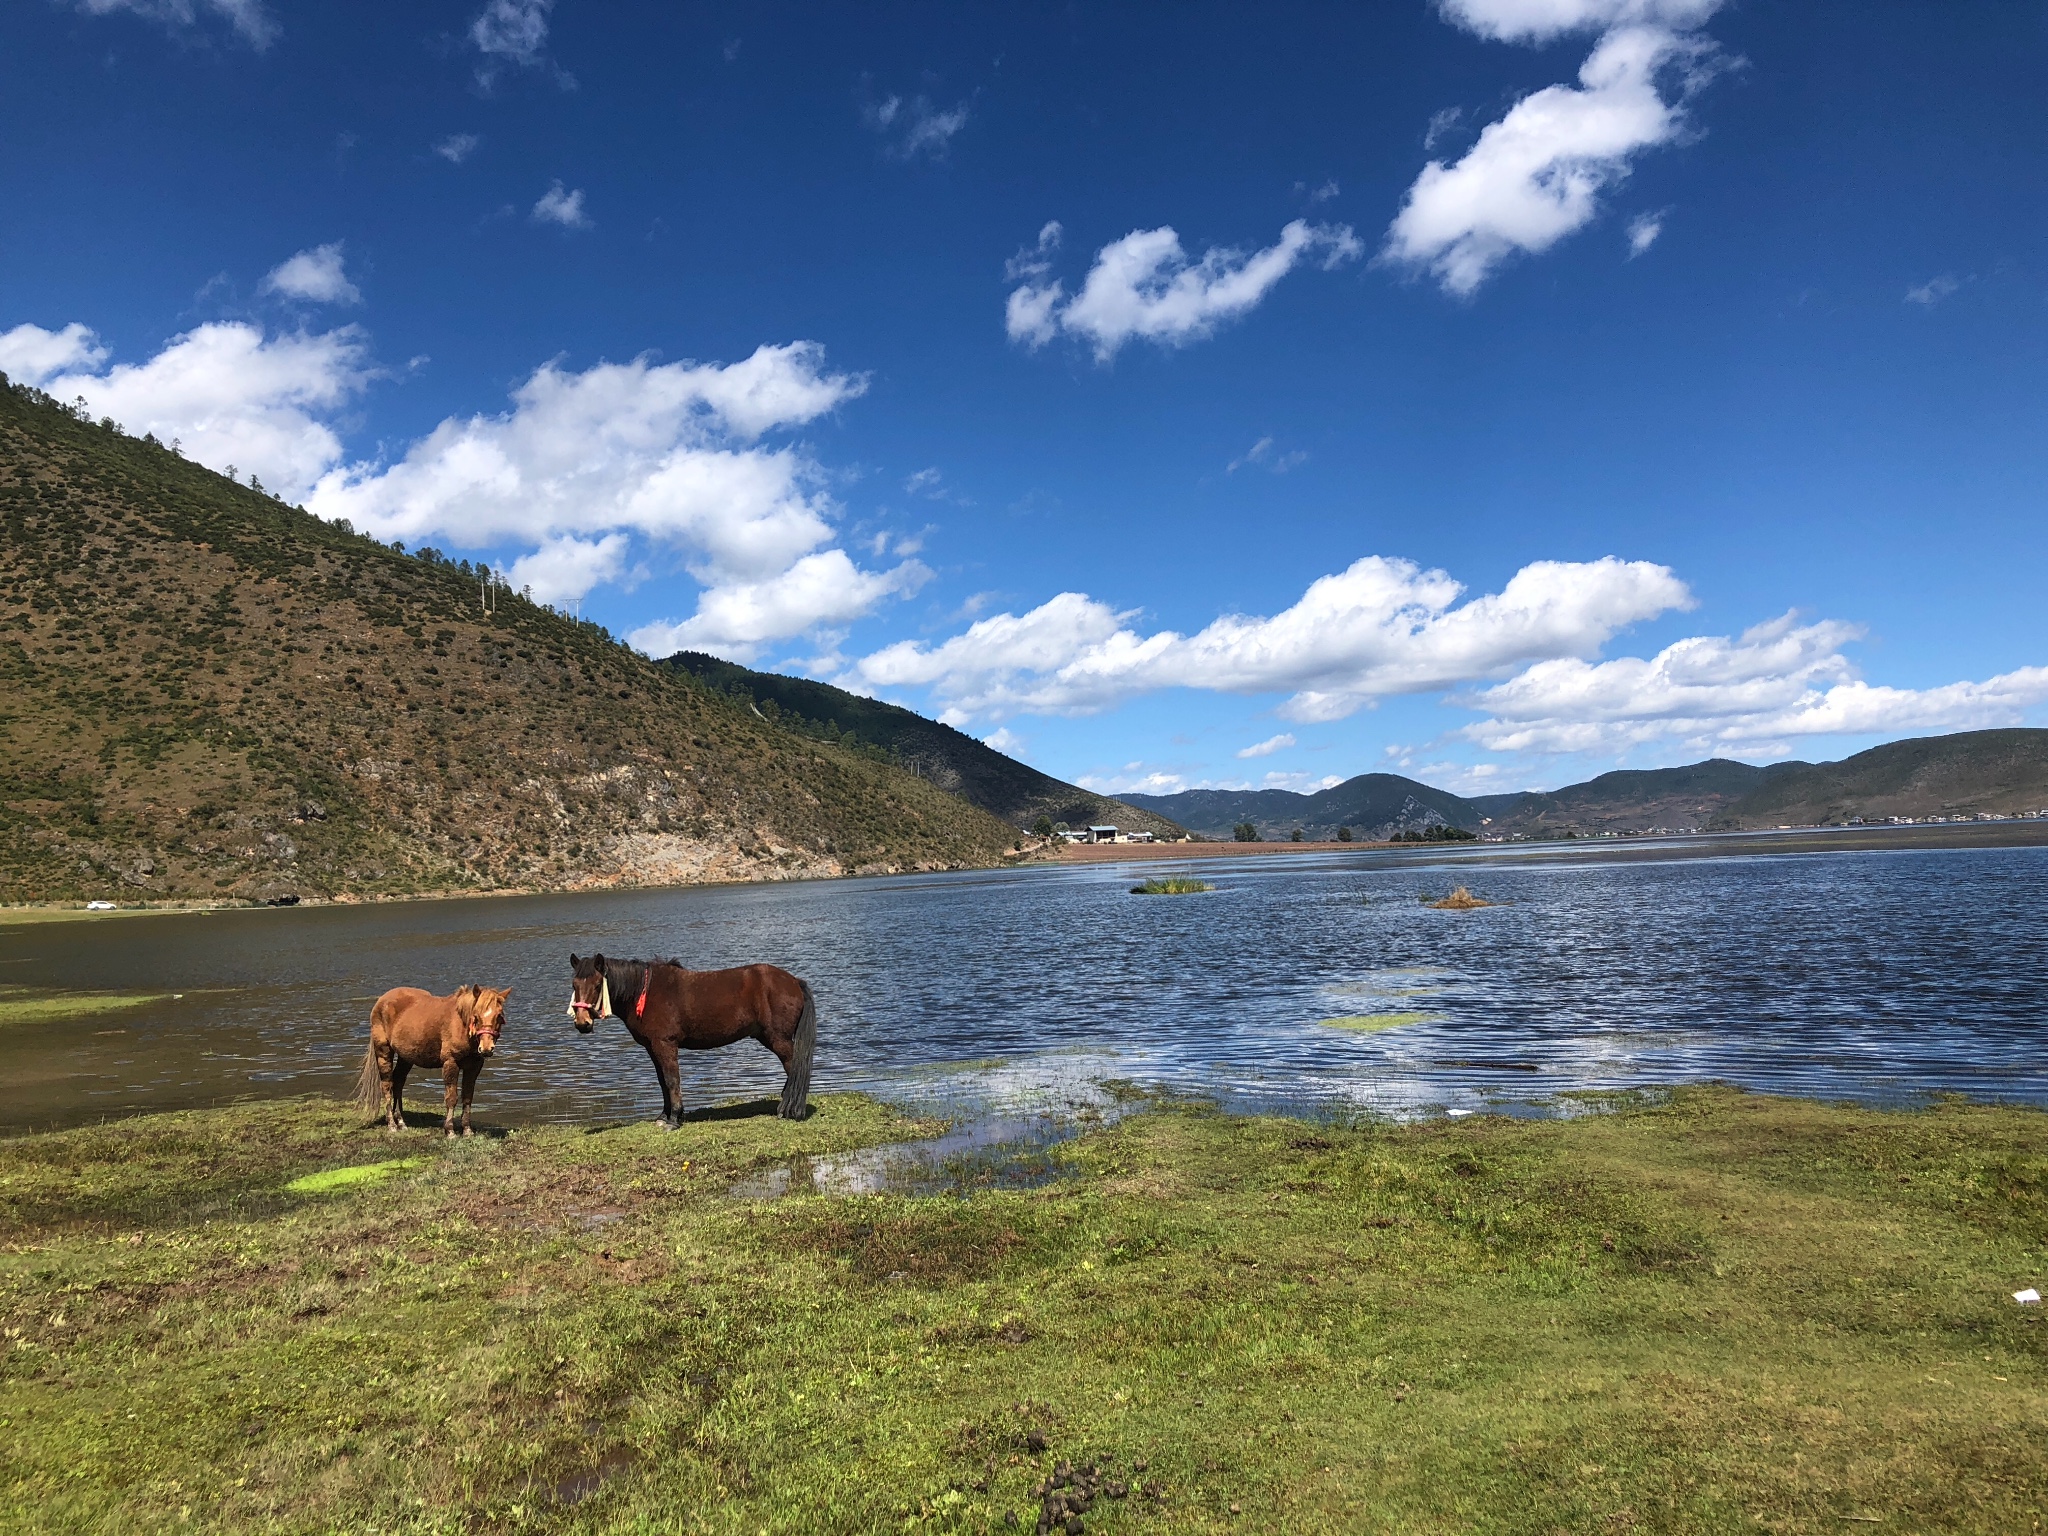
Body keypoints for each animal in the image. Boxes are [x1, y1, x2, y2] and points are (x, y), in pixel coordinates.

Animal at [356, 991, 512, 1138]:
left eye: (499, 1016)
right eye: (476, 1016)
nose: (486, 1048)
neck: (460, 1024)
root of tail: (381, 1000)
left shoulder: (474, 1067)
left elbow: (468, 1097)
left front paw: (467, 1130)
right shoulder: (450, 1064)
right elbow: (451, 1098)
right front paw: (450, 1131)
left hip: (406, 1057)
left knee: (398, 1081)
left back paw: (401, 1122)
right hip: (383, 1052)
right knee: (387, 1085)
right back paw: (392, 1125)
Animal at [569, 950, 815, 1130]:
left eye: (598, 985)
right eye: (574, 985)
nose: (582, 1023)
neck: (644, 993)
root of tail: (794, 981)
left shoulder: (665, 1044)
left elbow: (672, 1080)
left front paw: (674, 1120)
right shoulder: (652, 1047)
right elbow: (662, 1081)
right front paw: (664, 1116)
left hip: (778, 1039)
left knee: (795, 1067)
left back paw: (790, 1109)